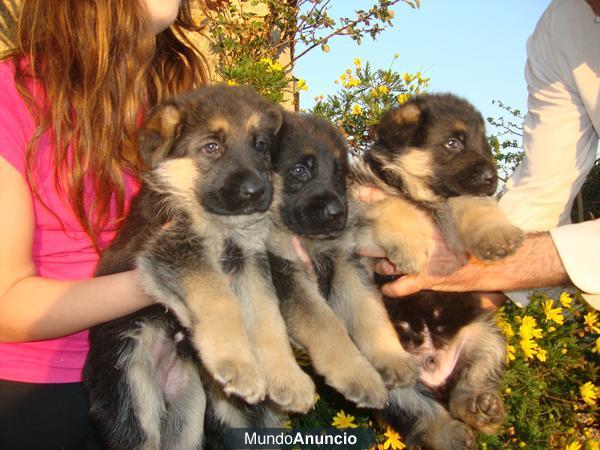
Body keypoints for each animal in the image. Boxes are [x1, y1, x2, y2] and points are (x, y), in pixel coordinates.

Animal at [86, 85, 316, 450]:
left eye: (260, 145)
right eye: (212, 147)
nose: (257, 192)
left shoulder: (250, 261)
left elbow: (268, 319)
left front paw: (288, 379)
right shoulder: (177, 249)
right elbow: (220, 302)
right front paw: (238, 363)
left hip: (190, 407)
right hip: (131, 388)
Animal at [354, 93, 524, 448]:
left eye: (484, 144)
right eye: (452, 143)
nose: (491, 180)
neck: (419, 192)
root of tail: (433, 372)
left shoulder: (456, 201)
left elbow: (469, 203)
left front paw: (497, 234)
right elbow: (391, 203)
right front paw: (410, 246)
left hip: (485, 338)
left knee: (468, 386)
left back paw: (480, 408)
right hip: (389, 374)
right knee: (423, 413)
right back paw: (450, 433)